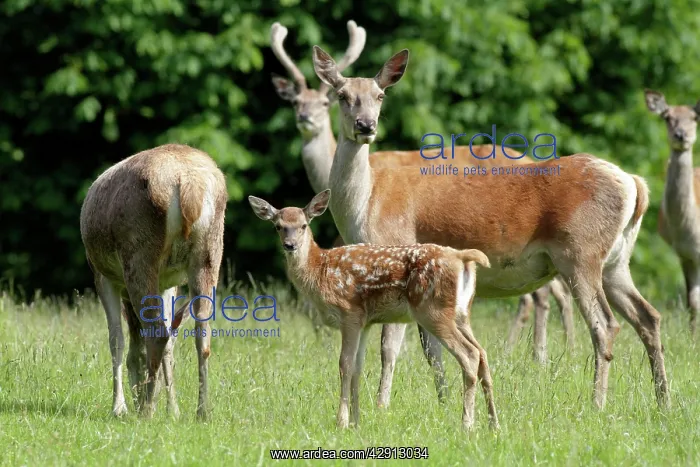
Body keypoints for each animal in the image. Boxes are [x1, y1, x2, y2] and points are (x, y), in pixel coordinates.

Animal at [80, 143, 227, 420]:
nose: (137, 396)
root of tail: (188, 183)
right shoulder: (167, 282)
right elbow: (170, 344)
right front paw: (173, 410)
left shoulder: (102, 275)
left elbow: (116, 340)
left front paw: (119, 407)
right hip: (210, 251)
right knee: (202, 333)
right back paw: (202, 411)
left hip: (140, 252)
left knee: (157, 332)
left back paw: (146, 411)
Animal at [249, 189, 498, 430]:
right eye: (278, 226)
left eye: (303, 225)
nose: (290, 245)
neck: (320, 271)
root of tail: (461, 257)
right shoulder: (365, 321)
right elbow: (358, 368)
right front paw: (356, 423)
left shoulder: (349, 313)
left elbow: (345, 364)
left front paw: (341, 422)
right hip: (461, 314)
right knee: (483, 354)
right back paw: (493, 424)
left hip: (434, 311)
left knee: (470, 354)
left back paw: (467, 425)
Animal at [310, 45, 671, 411]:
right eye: (342, 95)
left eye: (380, 95)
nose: (365, 125)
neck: (366, 204)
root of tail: (635, 184)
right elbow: (431, 350)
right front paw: (442, 402)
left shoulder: (396, 247)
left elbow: (390, 347)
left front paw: (382, 405)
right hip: (616, 260)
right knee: (648, 316)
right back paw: (663, 402)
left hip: (581, 252)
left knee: (605, 325)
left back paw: (597, 404)